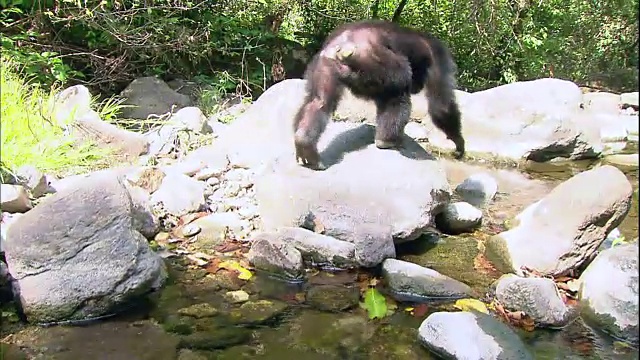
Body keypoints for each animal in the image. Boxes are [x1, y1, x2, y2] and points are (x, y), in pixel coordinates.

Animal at [292, 19, 464, 170]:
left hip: (325, 64)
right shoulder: (439, 55)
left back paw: (305, 144)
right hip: (373, 62)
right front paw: (459, 143)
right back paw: (386, 141)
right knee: (398, 91)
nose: (419, 85)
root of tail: (341, 46)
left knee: (319, 101)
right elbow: (441, 106)